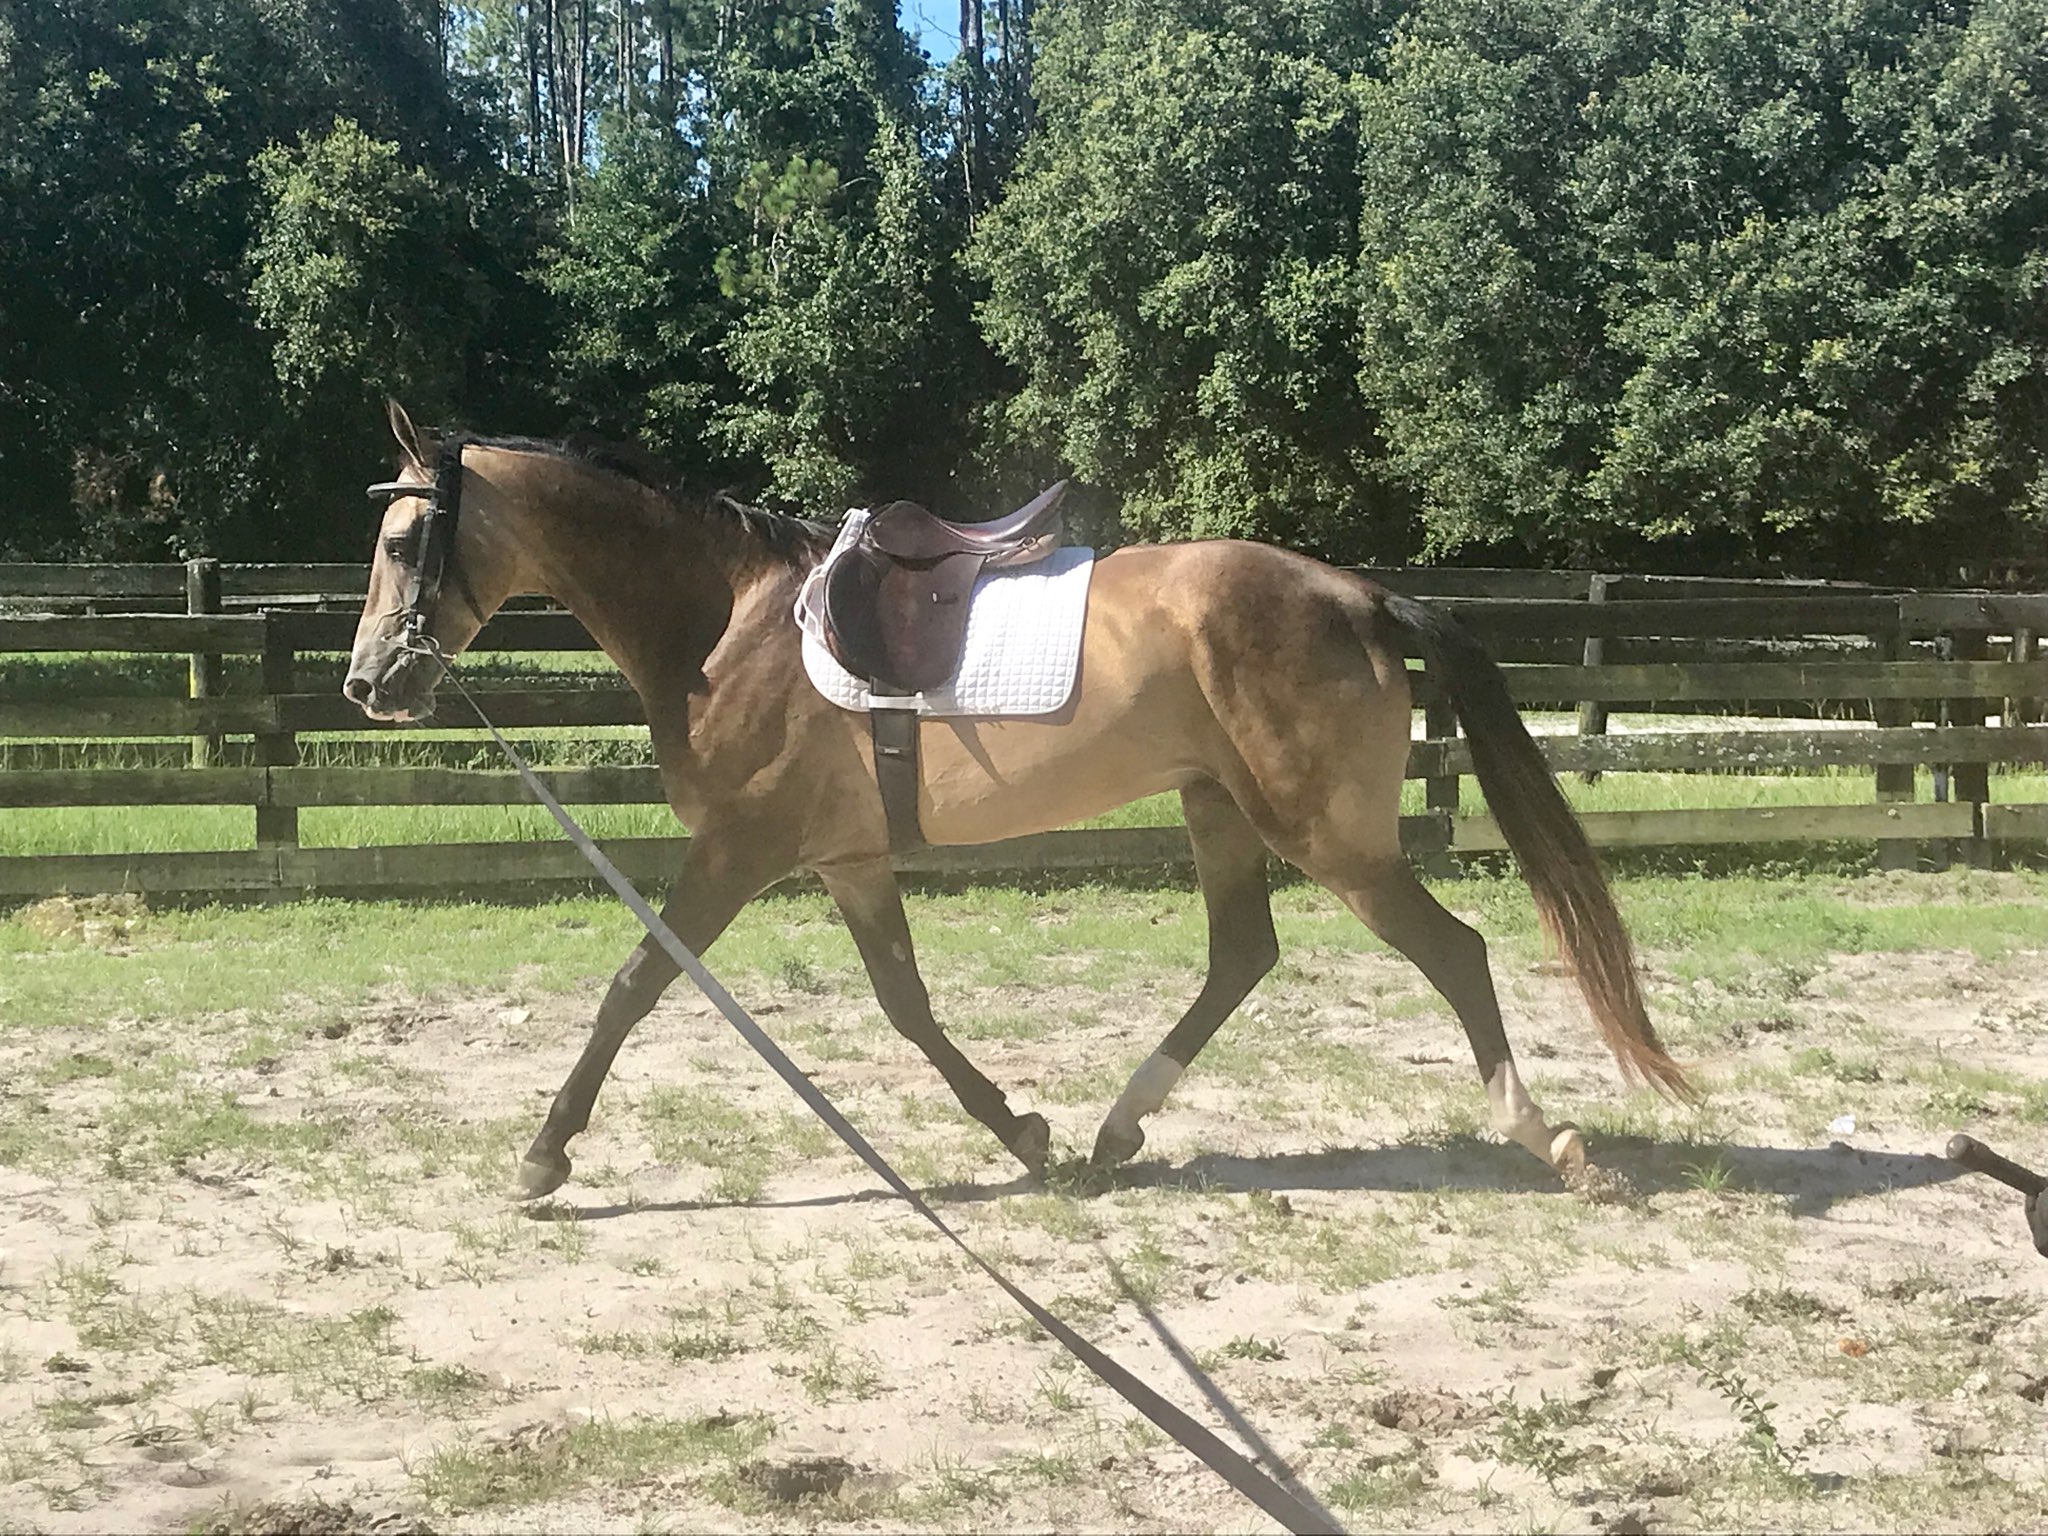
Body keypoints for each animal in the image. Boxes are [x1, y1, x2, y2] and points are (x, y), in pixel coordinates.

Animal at [344, 405, 1687, 1204]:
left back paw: (1549, 1143)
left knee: (1450, 952)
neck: (725, 625)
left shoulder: (739, 849)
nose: (369, 684)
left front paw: (542, 1155)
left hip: (1326, 837)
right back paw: (1110, 1136)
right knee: (1240, 957)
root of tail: (1357, 593)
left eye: (407, 543)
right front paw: (1021, 1133)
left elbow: (634, 984)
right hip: (1218, 810)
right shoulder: (846, 861)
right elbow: (906, 1005)